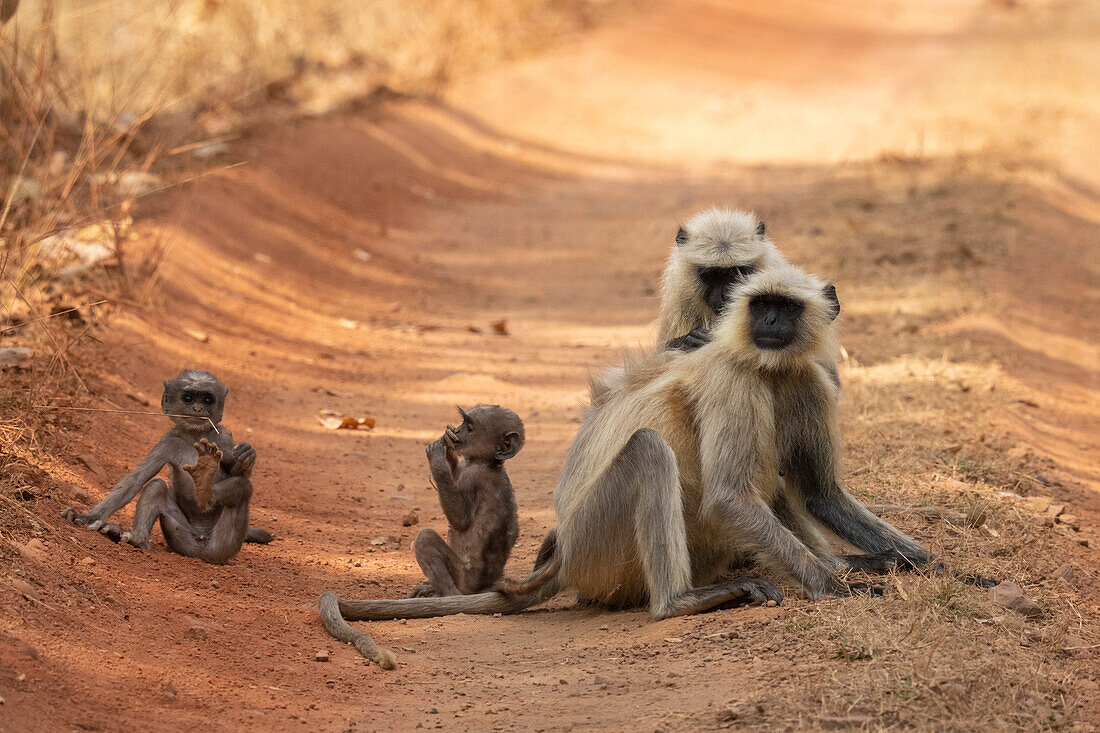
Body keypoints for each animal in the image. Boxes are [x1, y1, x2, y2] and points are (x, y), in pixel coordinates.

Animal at [61, 367, 272, 561]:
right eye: (188, 398)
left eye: (207, 400)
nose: (197, 409)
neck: (194, 437)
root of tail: (201, 549)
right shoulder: (168, 442)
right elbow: (135, 481)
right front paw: (87, 516)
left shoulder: (224, 438)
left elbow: (237, 472)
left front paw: (247, 455)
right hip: (181, 538)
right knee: (157, 486)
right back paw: (136, 538)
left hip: (226, 545)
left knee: (244, 486)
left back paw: (206, 488)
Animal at [411, 402, 525, 598]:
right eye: (462, 423)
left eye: (470, 428)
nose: (456, 431)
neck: (487, 463)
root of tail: (478, 588)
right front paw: (447, 448)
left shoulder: (473, 479)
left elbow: (460, 519)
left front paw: (438, 458)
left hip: (462, 578)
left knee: (425, 538)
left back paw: (448, 595)